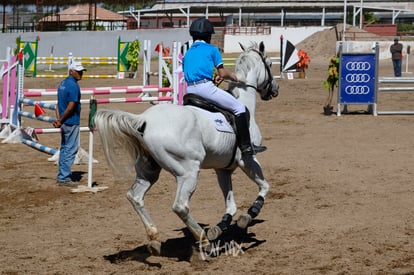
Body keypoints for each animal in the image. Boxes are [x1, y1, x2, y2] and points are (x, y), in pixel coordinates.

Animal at [94, 41, 278, 256]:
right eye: (269, 64)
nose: (275, 90)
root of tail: (144, 120)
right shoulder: (247, 160)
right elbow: (264, 186)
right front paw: (249, 215)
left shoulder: (223, 169)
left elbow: (230, 205)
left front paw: (220, 227)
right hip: (188, 172)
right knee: (180, 206)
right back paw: (203, 240)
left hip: (149, 171)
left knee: (135, 196)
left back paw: (154, 238)